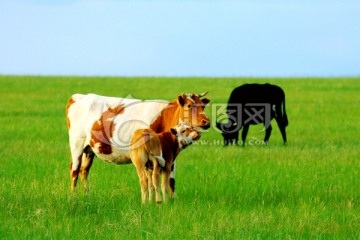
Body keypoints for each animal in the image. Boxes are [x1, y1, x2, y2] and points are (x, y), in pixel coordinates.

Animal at [66, 92, 210, 193]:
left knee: (84, 171)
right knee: (74, 171)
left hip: (89, 150)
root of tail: (78, 96)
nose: (206, 121)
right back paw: (74, 196)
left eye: (203, 106)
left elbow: (171, 181)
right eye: (189, 106)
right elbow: (152, 181)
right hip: (76, 145)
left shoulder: (171, 156)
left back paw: (87, 194)